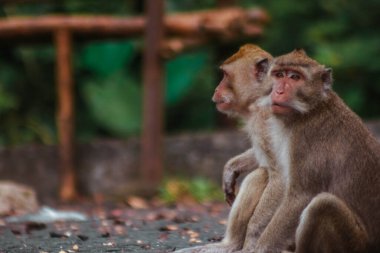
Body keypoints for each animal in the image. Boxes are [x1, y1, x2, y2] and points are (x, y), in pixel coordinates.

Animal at [174, 45, 284, 253]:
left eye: (225, 75)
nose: (216, 89)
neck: (264, 96)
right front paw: (230, 168)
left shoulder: (266, 120)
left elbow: (281, 177)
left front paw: (253, 243)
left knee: (262, 175)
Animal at [243, 48, 380, 252]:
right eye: (279, 75)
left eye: (294, 77)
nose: (278, 90)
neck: (310, 110)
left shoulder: (304, 139)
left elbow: (301, 196)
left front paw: (260, 247)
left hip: (356, 244)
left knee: (322, 204)